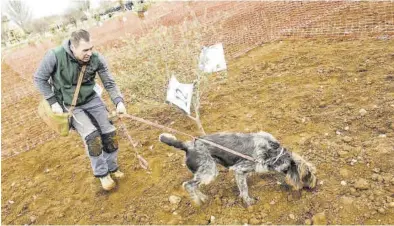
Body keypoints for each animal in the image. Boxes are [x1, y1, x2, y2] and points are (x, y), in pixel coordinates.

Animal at [159, 131, 316, 207]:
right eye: (309, 175)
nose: (315, 186)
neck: (273, 152)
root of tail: (187, 145)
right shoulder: (239, 170)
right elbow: (244, 189)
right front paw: (248, 202)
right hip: (209, 172)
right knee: (188, 185)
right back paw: (198, 201)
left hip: (205, 172)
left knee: (195, 185)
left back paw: (202, 197)